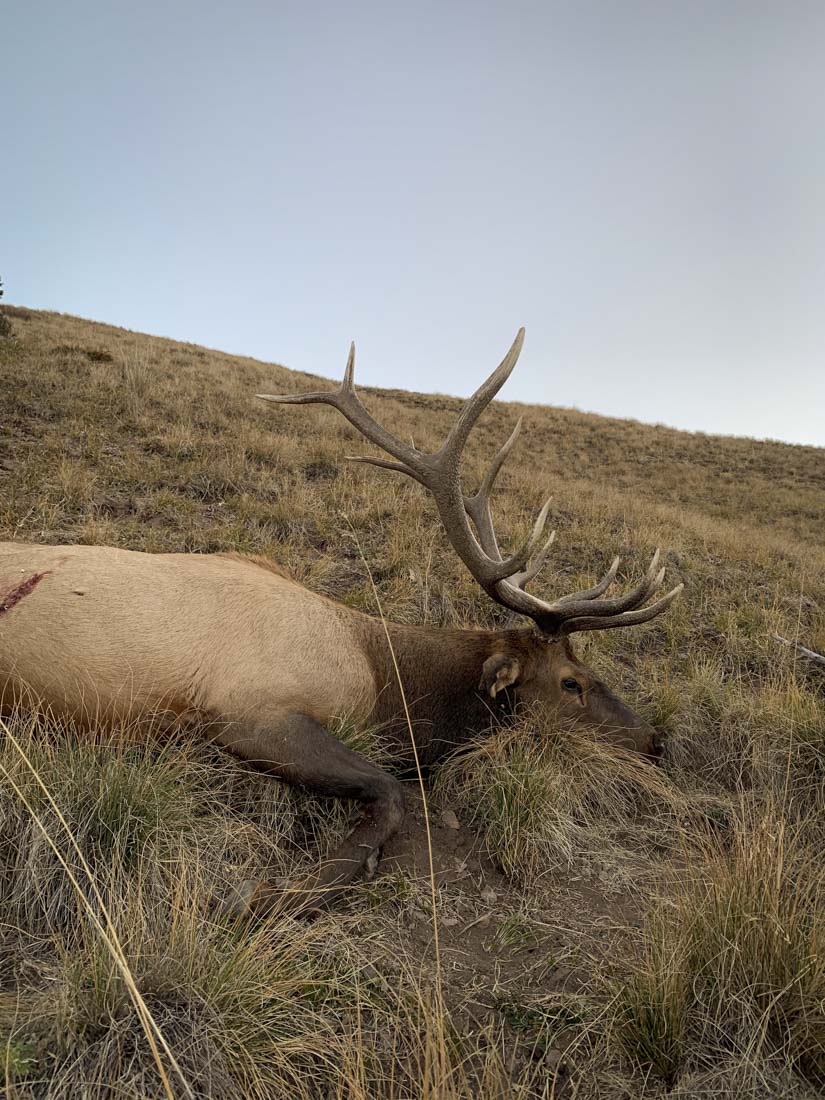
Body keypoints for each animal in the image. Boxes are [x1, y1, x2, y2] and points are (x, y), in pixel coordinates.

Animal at [0, 328, 682, 916]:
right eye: (572, 682)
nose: (654, 740)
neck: (384, 679)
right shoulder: (249, 710)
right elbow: (390, 793)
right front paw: (271, 895)